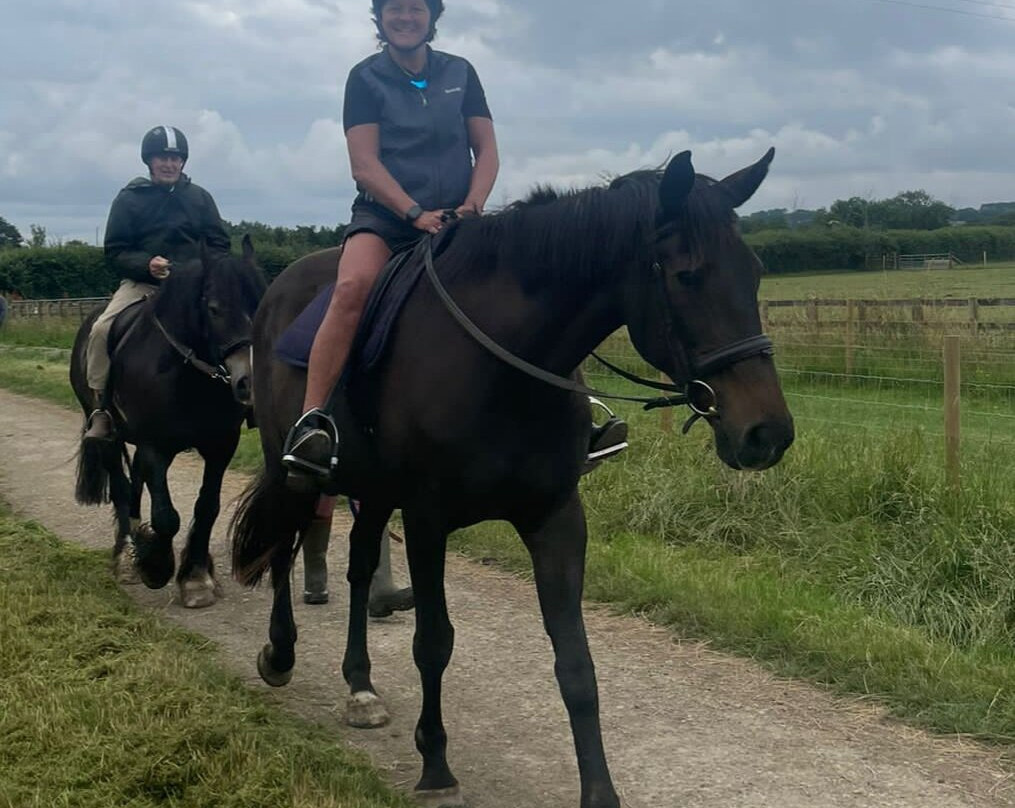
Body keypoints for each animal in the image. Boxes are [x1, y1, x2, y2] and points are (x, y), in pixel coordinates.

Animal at [71, 239, 265, 604]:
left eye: (261, 302)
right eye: (214, 308)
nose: (249, 382)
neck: (185, 371)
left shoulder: (220, 446)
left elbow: (207, 507)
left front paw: (196, 576)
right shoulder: (155, 446)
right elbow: (165, 516)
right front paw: (156, 566)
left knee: (135, 483)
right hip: (109, 435)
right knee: (121, 486)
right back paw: (126, 555)